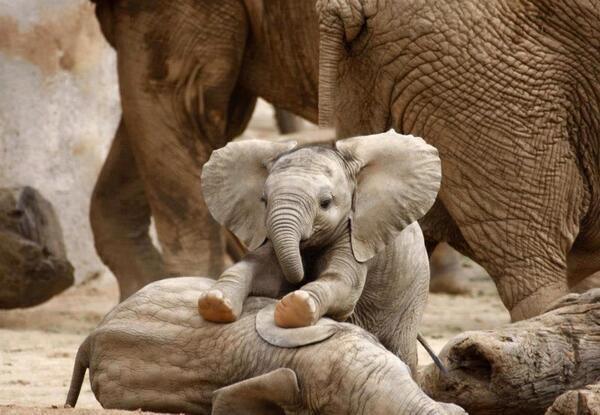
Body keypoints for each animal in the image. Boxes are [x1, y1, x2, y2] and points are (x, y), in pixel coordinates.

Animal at [199, 130, 438, 332]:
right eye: (264, 201)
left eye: (325, 203)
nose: (300, 279)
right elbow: (259, 269)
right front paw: (215, 302)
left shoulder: (356, 235)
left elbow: (343, 282)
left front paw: (296, 306)